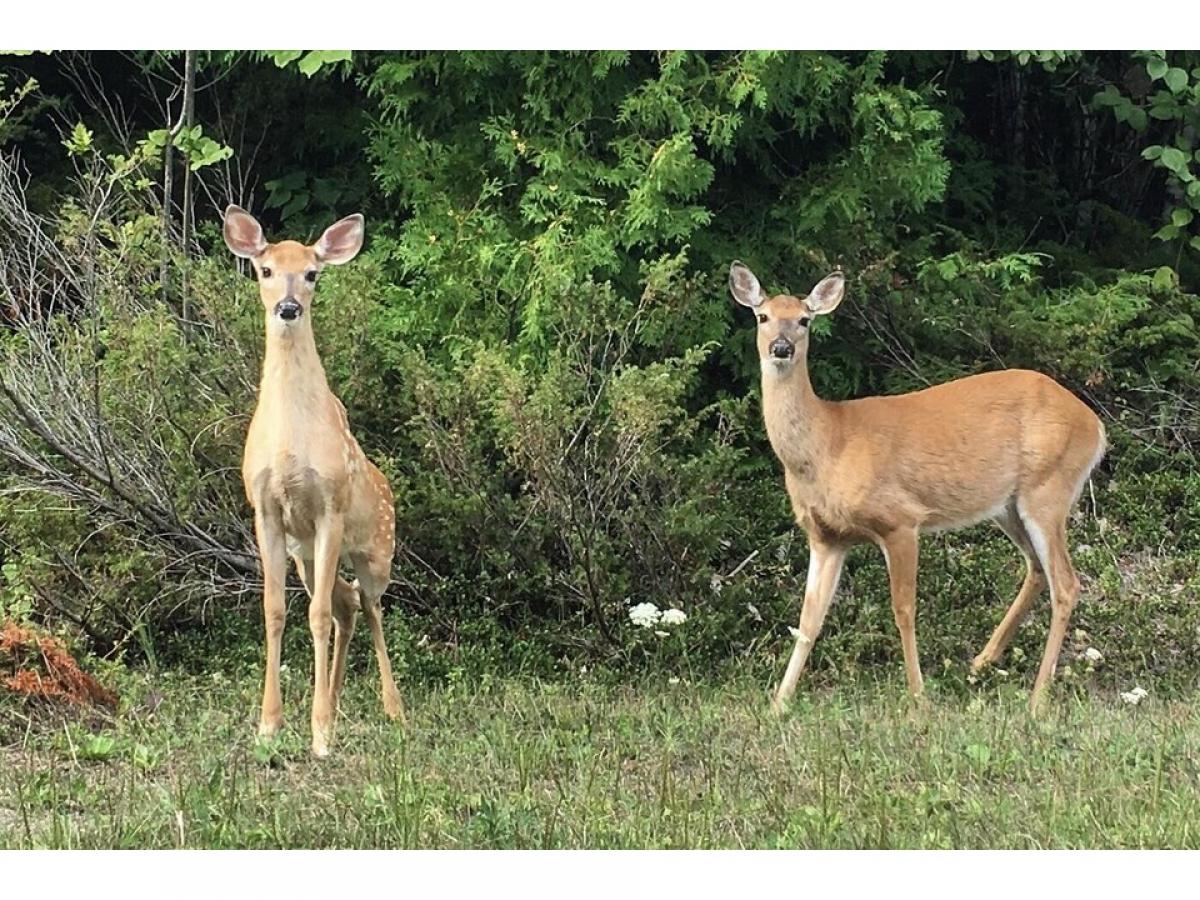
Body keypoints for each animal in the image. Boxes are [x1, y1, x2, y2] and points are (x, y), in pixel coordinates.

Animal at [224, 205, 405, 757]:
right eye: (264, 270)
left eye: (312, 274)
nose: (287, 307)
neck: (291, 441)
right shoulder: (265, 510)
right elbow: (276, 611)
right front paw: (269, 725)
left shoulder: (330, 506)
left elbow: (318, 614)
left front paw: (319, 734)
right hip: (307, 555)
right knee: (347, 605)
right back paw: (338, 700)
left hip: (377, 550)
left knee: (368, 606)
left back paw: (392, 708)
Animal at [729, 261, 1106, 716]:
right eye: (762, 316)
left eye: (804, 320)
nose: (781, 347)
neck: (827, 443)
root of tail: (1095, 425)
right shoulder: (826, 536)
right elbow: (808, 619)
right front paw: (779, 703)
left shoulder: (901, 520)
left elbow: (904, 609)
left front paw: (918, 698)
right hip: (1009, 505)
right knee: (1037, 569)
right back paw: (982, 662)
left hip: (1049, 487)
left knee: (1066, 583)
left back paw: (1037, 698)